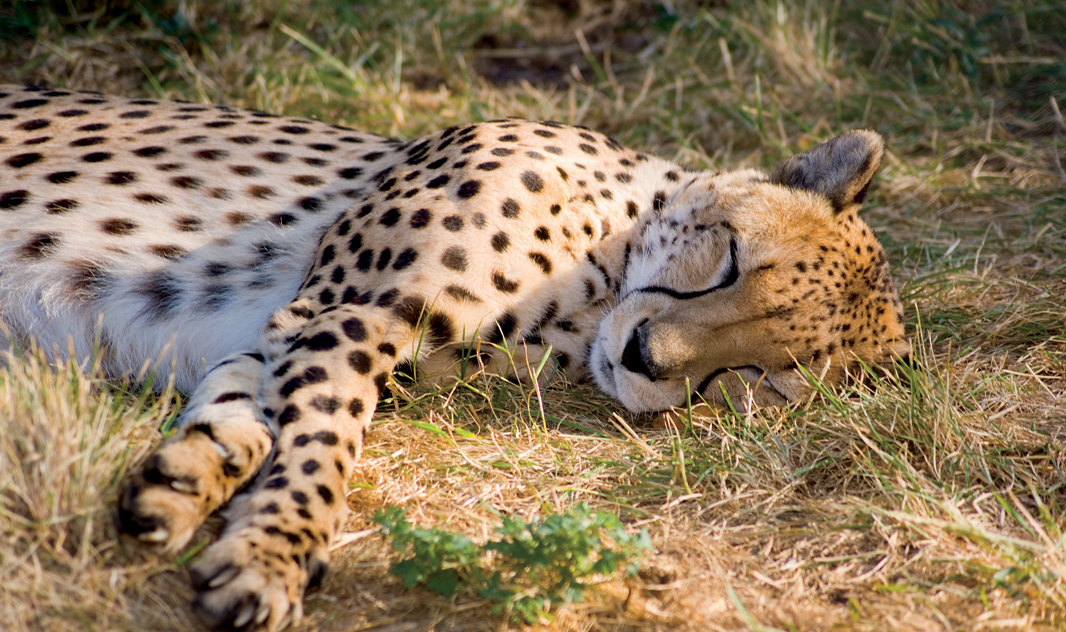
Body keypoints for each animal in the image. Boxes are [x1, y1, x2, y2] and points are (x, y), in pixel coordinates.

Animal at [0, 86, 908, 626]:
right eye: (729, 258)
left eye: (754, 378)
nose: (646, 357)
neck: (600, 276)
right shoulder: (349, 313)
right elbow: (324, 441)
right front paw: (275, 555)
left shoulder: (289, 326)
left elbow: (245, 415)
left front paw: (187, 482)